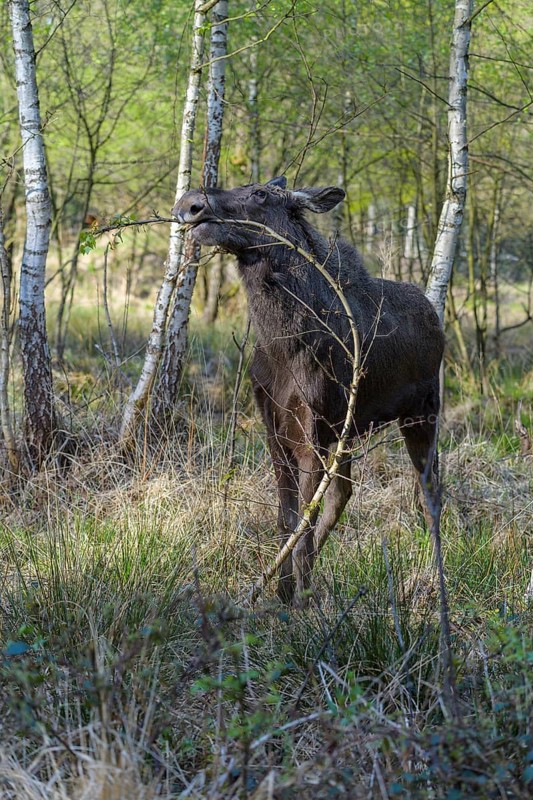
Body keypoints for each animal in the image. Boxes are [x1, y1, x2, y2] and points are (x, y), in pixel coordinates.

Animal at [173, 178, 445, 604]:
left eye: (260, 194)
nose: (190, 203)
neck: (281, 340)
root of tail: (435, 316)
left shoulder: (309, 432)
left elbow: (305, 515)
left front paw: (299, 597)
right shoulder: (276, 430)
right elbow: (287, 519)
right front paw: (283, 592)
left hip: (421, 413)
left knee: (429, 494)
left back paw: (436, 575)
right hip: (347, 431)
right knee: (342, 494)